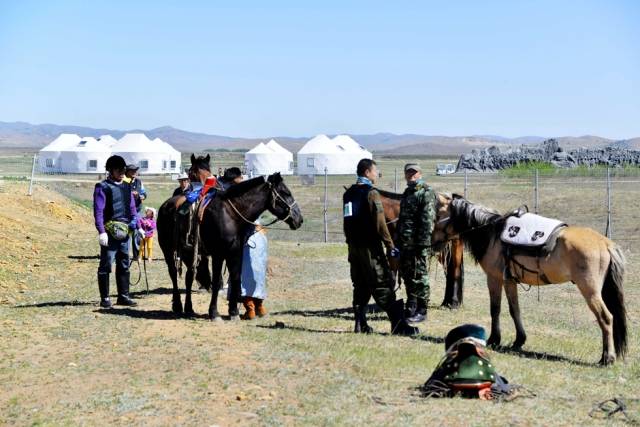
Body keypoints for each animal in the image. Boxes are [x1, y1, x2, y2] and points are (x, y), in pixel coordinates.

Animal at [432, 194, 628, 364]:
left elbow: (496, 309)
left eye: (439, 215)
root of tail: (605, 243)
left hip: (590, 291)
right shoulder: (509, 281)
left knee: (606, 318)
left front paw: (494, 339)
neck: (491, 234)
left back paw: (607, 358)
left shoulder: (494, 278)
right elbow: (515, 309)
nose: (433, 242)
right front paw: (519, 340)